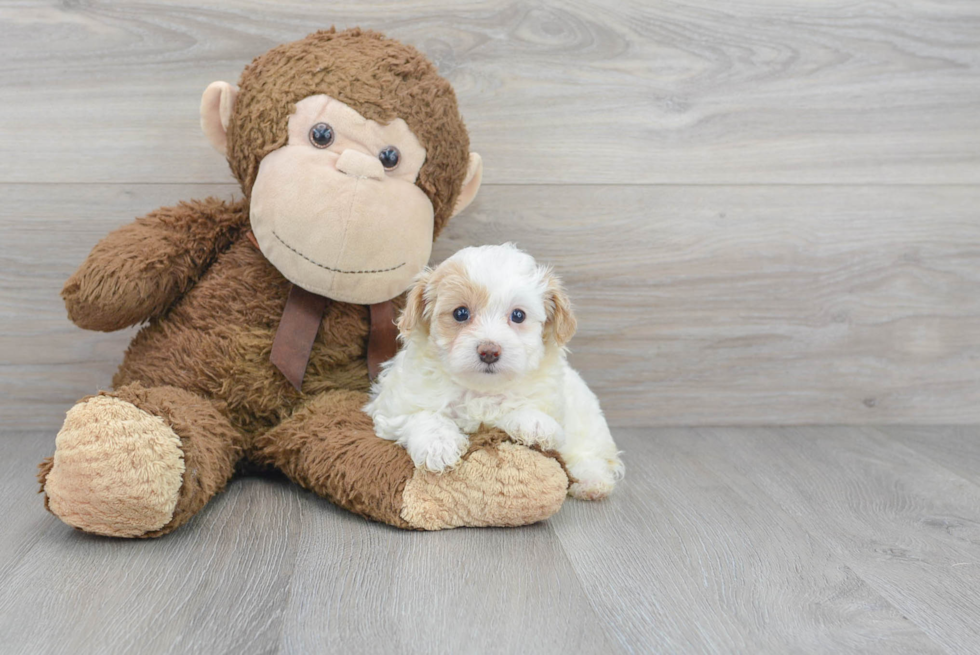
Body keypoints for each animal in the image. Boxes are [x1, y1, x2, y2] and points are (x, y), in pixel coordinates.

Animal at [364, 243, 624, 500]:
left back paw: (591, 480)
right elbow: (422, 416)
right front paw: (438, 444)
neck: (480, 390)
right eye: (460, 313)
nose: (489, 351)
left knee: (586, 450)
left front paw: (534, 423)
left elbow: (527, 408)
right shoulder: (395, 407)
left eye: (518, 315)